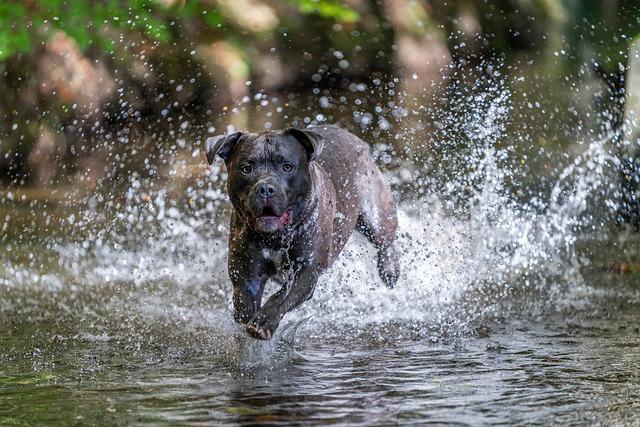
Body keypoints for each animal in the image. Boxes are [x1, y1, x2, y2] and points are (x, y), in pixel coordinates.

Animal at [205, 124, 398, 342]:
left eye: (287, 167)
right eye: (246, 168)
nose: (265, 188)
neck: (276, 237)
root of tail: (353, 138)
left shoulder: (306, 270)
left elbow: (281, 297)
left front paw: (263, 321)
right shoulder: (247, 273)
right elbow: (246, 301)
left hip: (375, 213)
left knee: (385, 241)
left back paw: (390, 270)